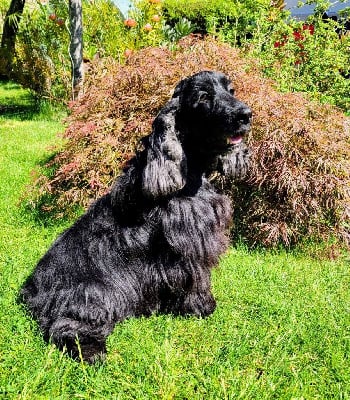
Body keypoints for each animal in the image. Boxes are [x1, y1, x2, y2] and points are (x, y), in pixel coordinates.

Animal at [21, 71, 252, 362]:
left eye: (231, 90)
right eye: (203, 97)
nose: (246, 115)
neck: (189, 170)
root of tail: (30, 290)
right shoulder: (189, 242)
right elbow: (196, 277)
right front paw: (202, 306)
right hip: (95, 293)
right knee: (66, 326)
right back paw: (92, 351)